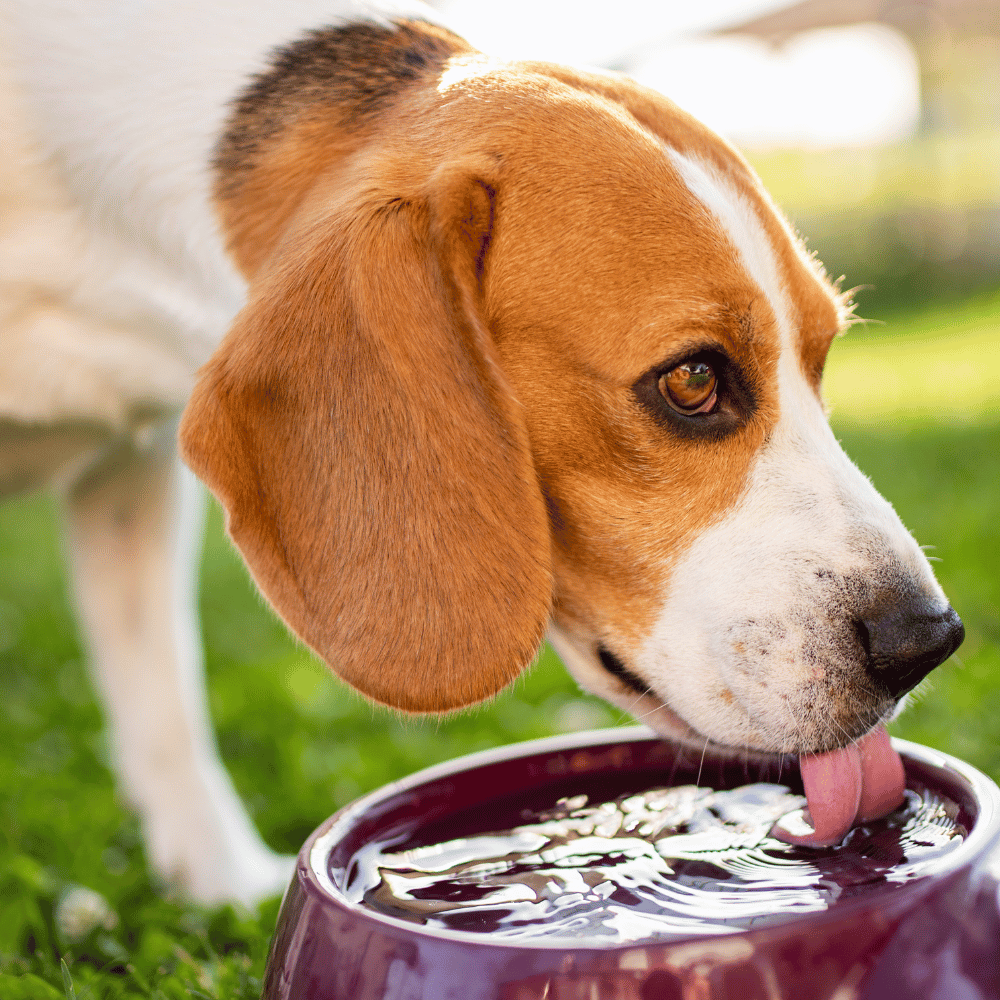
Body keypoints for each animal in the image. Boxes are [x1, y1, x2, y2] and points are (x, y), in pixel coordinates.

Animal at [1, 1, 968, 908]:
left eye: (822, 356)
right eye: (692, 380)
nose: (926, 641)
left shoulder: (132, 474)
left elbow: (162, 696)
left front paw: (219, 883)